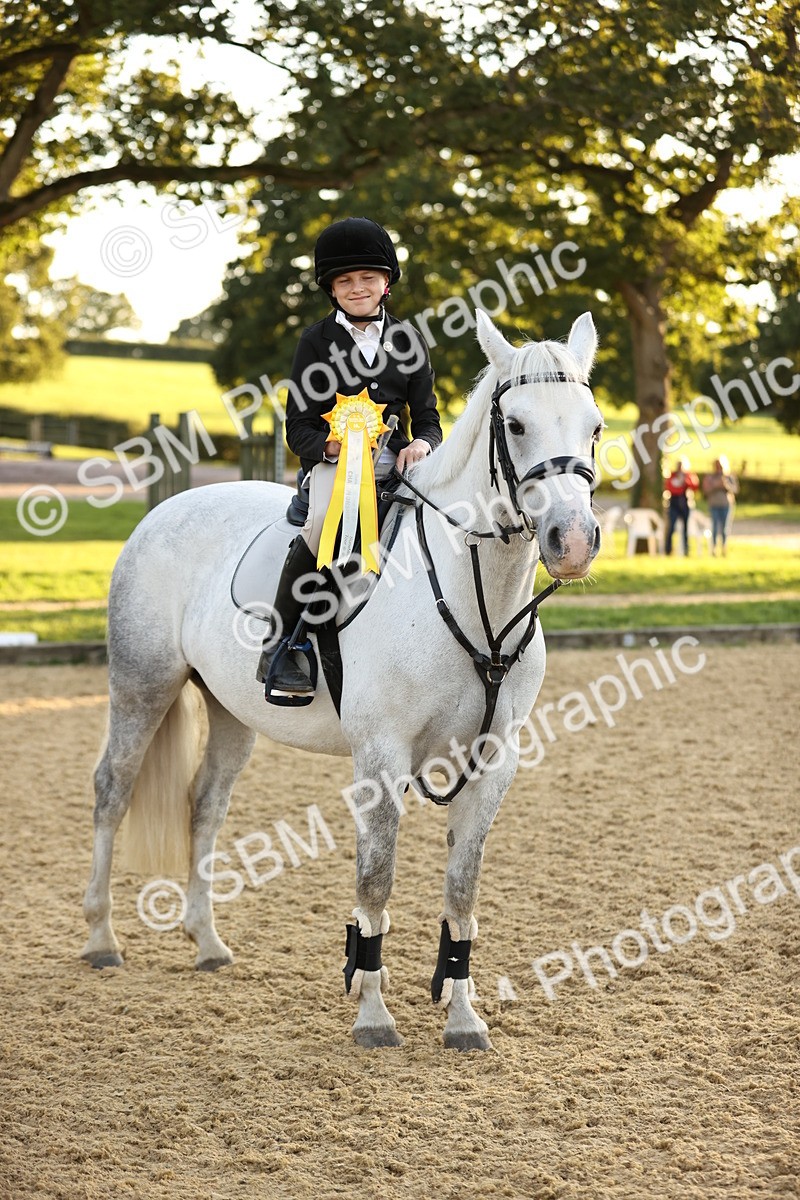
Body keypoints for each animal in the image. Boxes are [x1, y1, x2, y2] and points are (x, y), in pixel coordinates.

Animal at [82, 310, 603, 1051]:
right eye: (517, 424)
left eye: (594, 427)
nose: (573, 541)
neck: (473, 594)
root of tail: (166, 508)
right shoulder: (382, 757)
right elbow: (376, 882)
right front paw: (374, 1014)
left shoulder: (494, 760)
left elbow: (462, 889)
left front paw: (463, 1018)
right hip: (142, 686)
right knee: (114, 791)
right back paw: (101, 937)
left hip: (233, 713)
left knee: (205, 804)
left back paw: (207, 942)